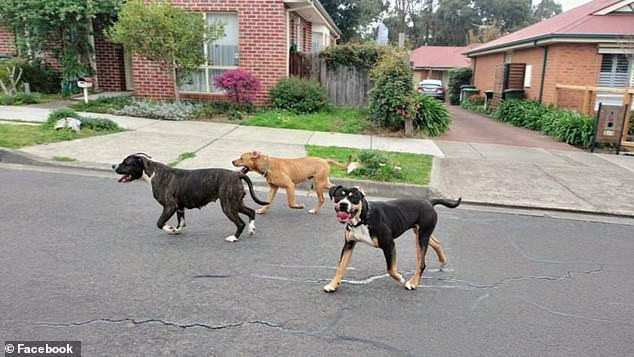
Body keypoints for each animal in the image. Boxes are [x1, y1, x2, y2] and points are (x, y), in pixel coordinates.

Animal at [112, 153, 268, 242]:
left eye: (126, 163)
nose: (113, 165)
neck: (153, 172)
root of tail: (237, 174)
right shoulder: (179, 207)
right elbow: (181, 222)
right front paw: (176, 230)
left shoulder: (169, 206)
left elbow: (160, 223)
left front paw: (169, 229)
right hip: (236, 202)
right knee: (251, 212)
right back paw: (251, 229)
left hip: (228, 205)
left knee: (240, 222)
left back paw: (234, 238)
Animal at [324, 185, 456, 290]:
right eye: (338, 196)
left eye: (354, 198)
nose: (343, 204)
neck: (364, 218)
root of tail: (429, 203)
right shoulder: (348, 245)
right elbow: (340, 267)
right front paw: (333, 284)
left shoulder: (389, 244)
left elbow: (391, 269)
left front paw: (400, 278)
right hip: (421, 233)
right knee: (436, 243)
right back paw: (442, 260)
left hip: (422, 237)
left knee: (421, 263)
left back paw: (413, 283)